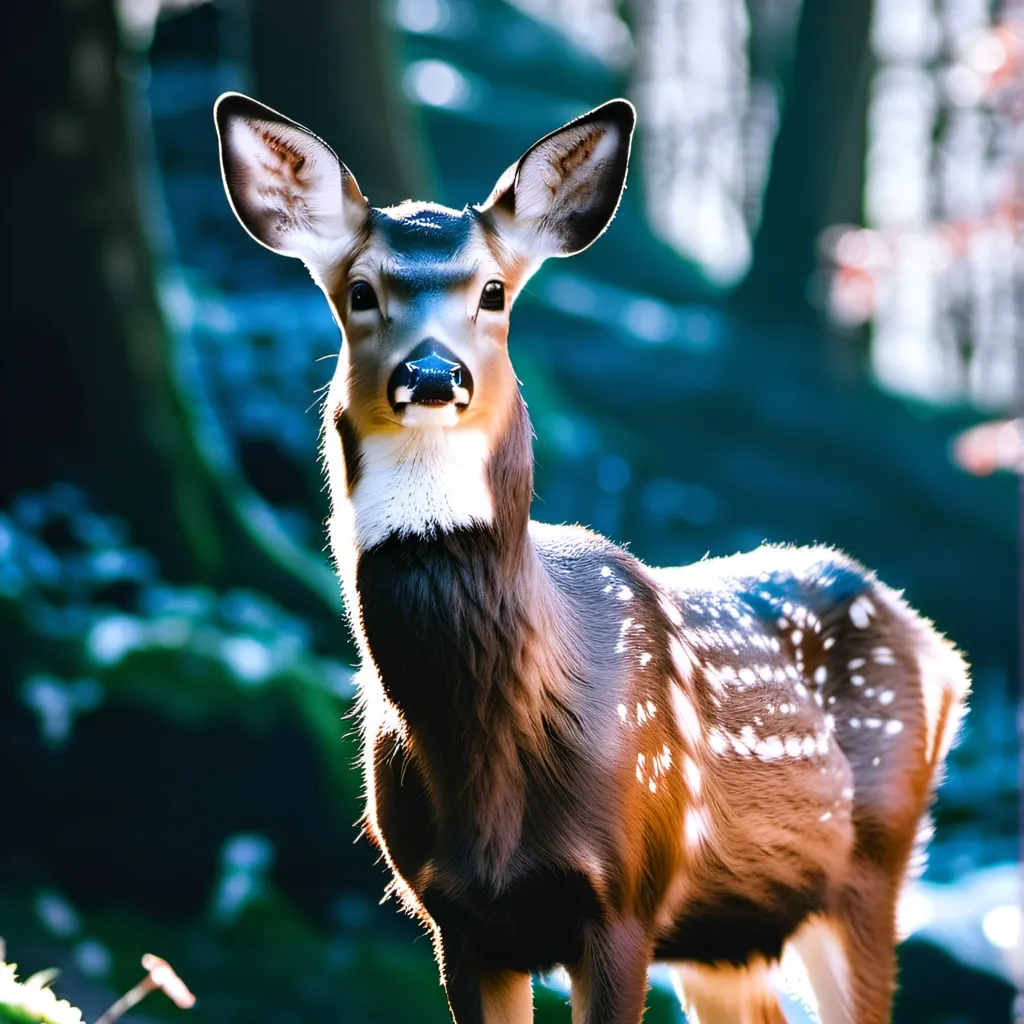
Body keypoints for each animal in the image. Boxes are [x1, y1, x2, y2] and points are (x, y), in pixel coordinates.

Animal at [214, 92, 970, 1024]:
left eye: (493, 292)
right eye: (360, 291)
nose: (432, 374)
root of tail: (943, 653)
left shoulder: (625, 893)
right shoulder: (452, 914)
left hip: (871, 867)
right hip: (726, 935)